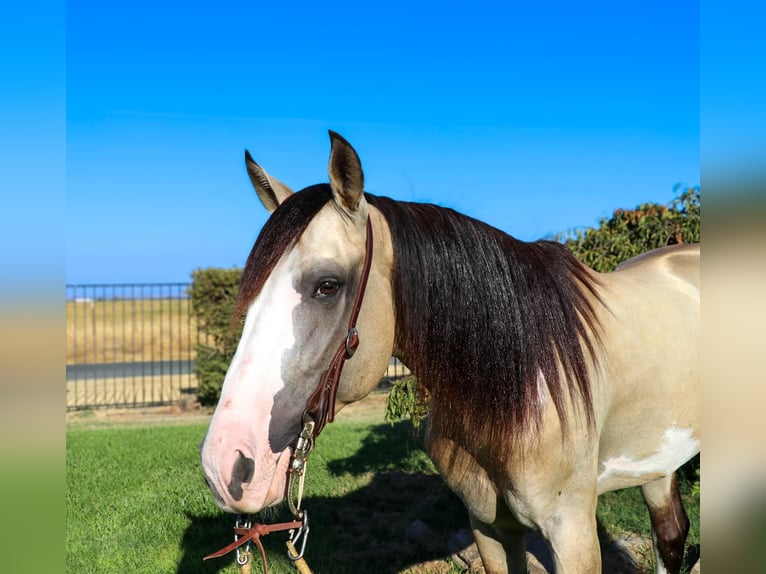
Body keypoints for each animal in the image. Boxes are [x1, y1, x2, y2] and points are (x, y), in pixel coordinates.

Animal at [200, 131, 700, 573]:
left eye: (327, 285)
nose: (225, 466)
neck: (516, 385)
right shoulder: (488, 526)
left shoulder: (572, 533)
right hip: (656, 464)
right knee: (670, 534)